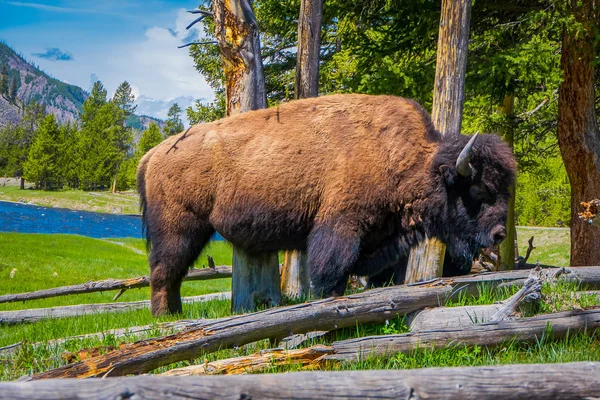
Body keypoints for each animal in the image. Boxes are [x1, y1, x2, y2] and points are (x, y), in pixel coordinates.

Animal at [137, 94, 516, 316]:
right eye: (478, 190)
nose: (499, 234)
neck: (405, 160)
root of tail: (154, 153)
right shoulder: (340, 227)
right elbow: (330, 273)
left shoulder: (383, 241)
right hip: (179, 229)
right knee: (164, 271)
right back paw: (165, 317)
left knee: (172, 273)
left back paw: (175, 314)